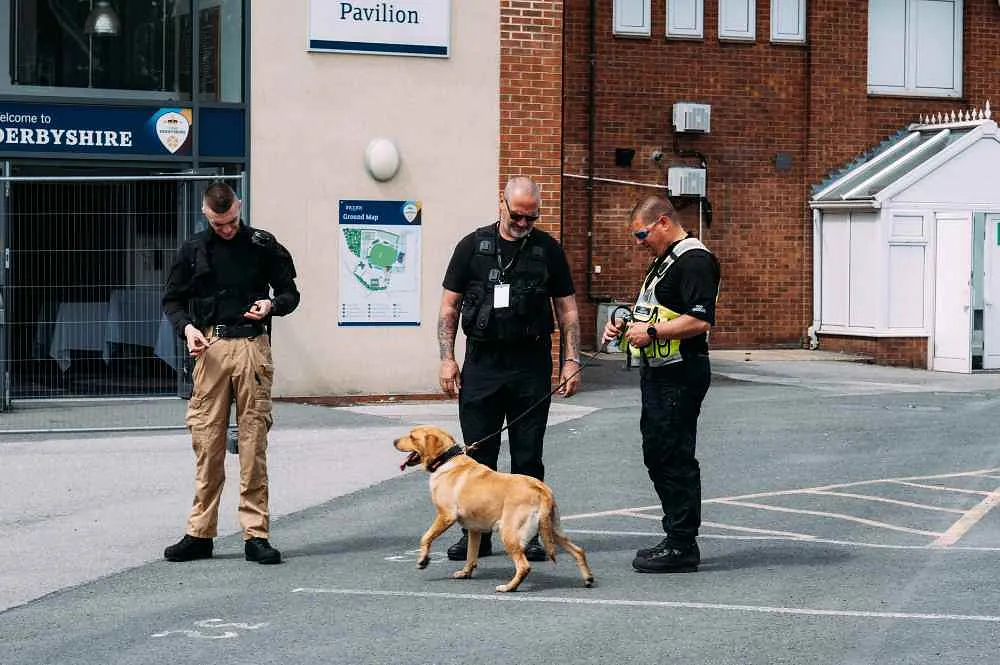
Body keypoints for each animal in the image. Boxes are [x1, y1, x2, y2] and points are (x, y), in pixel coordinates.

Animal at [392, 426, 592, 592]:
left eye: (412, 436)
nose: (393, 441)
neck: (446, 460)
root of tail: (540, 489)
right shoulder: (474, 529)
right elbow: (471, 555)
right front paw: (466, 572)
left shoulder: (445, 516)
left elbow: (425, 537)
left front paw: (423, 560)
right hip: (552, 530)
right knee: (578, 551)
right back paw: (588, 579)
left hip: (510, 534)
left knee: (524, 566)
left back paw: (509, 587)